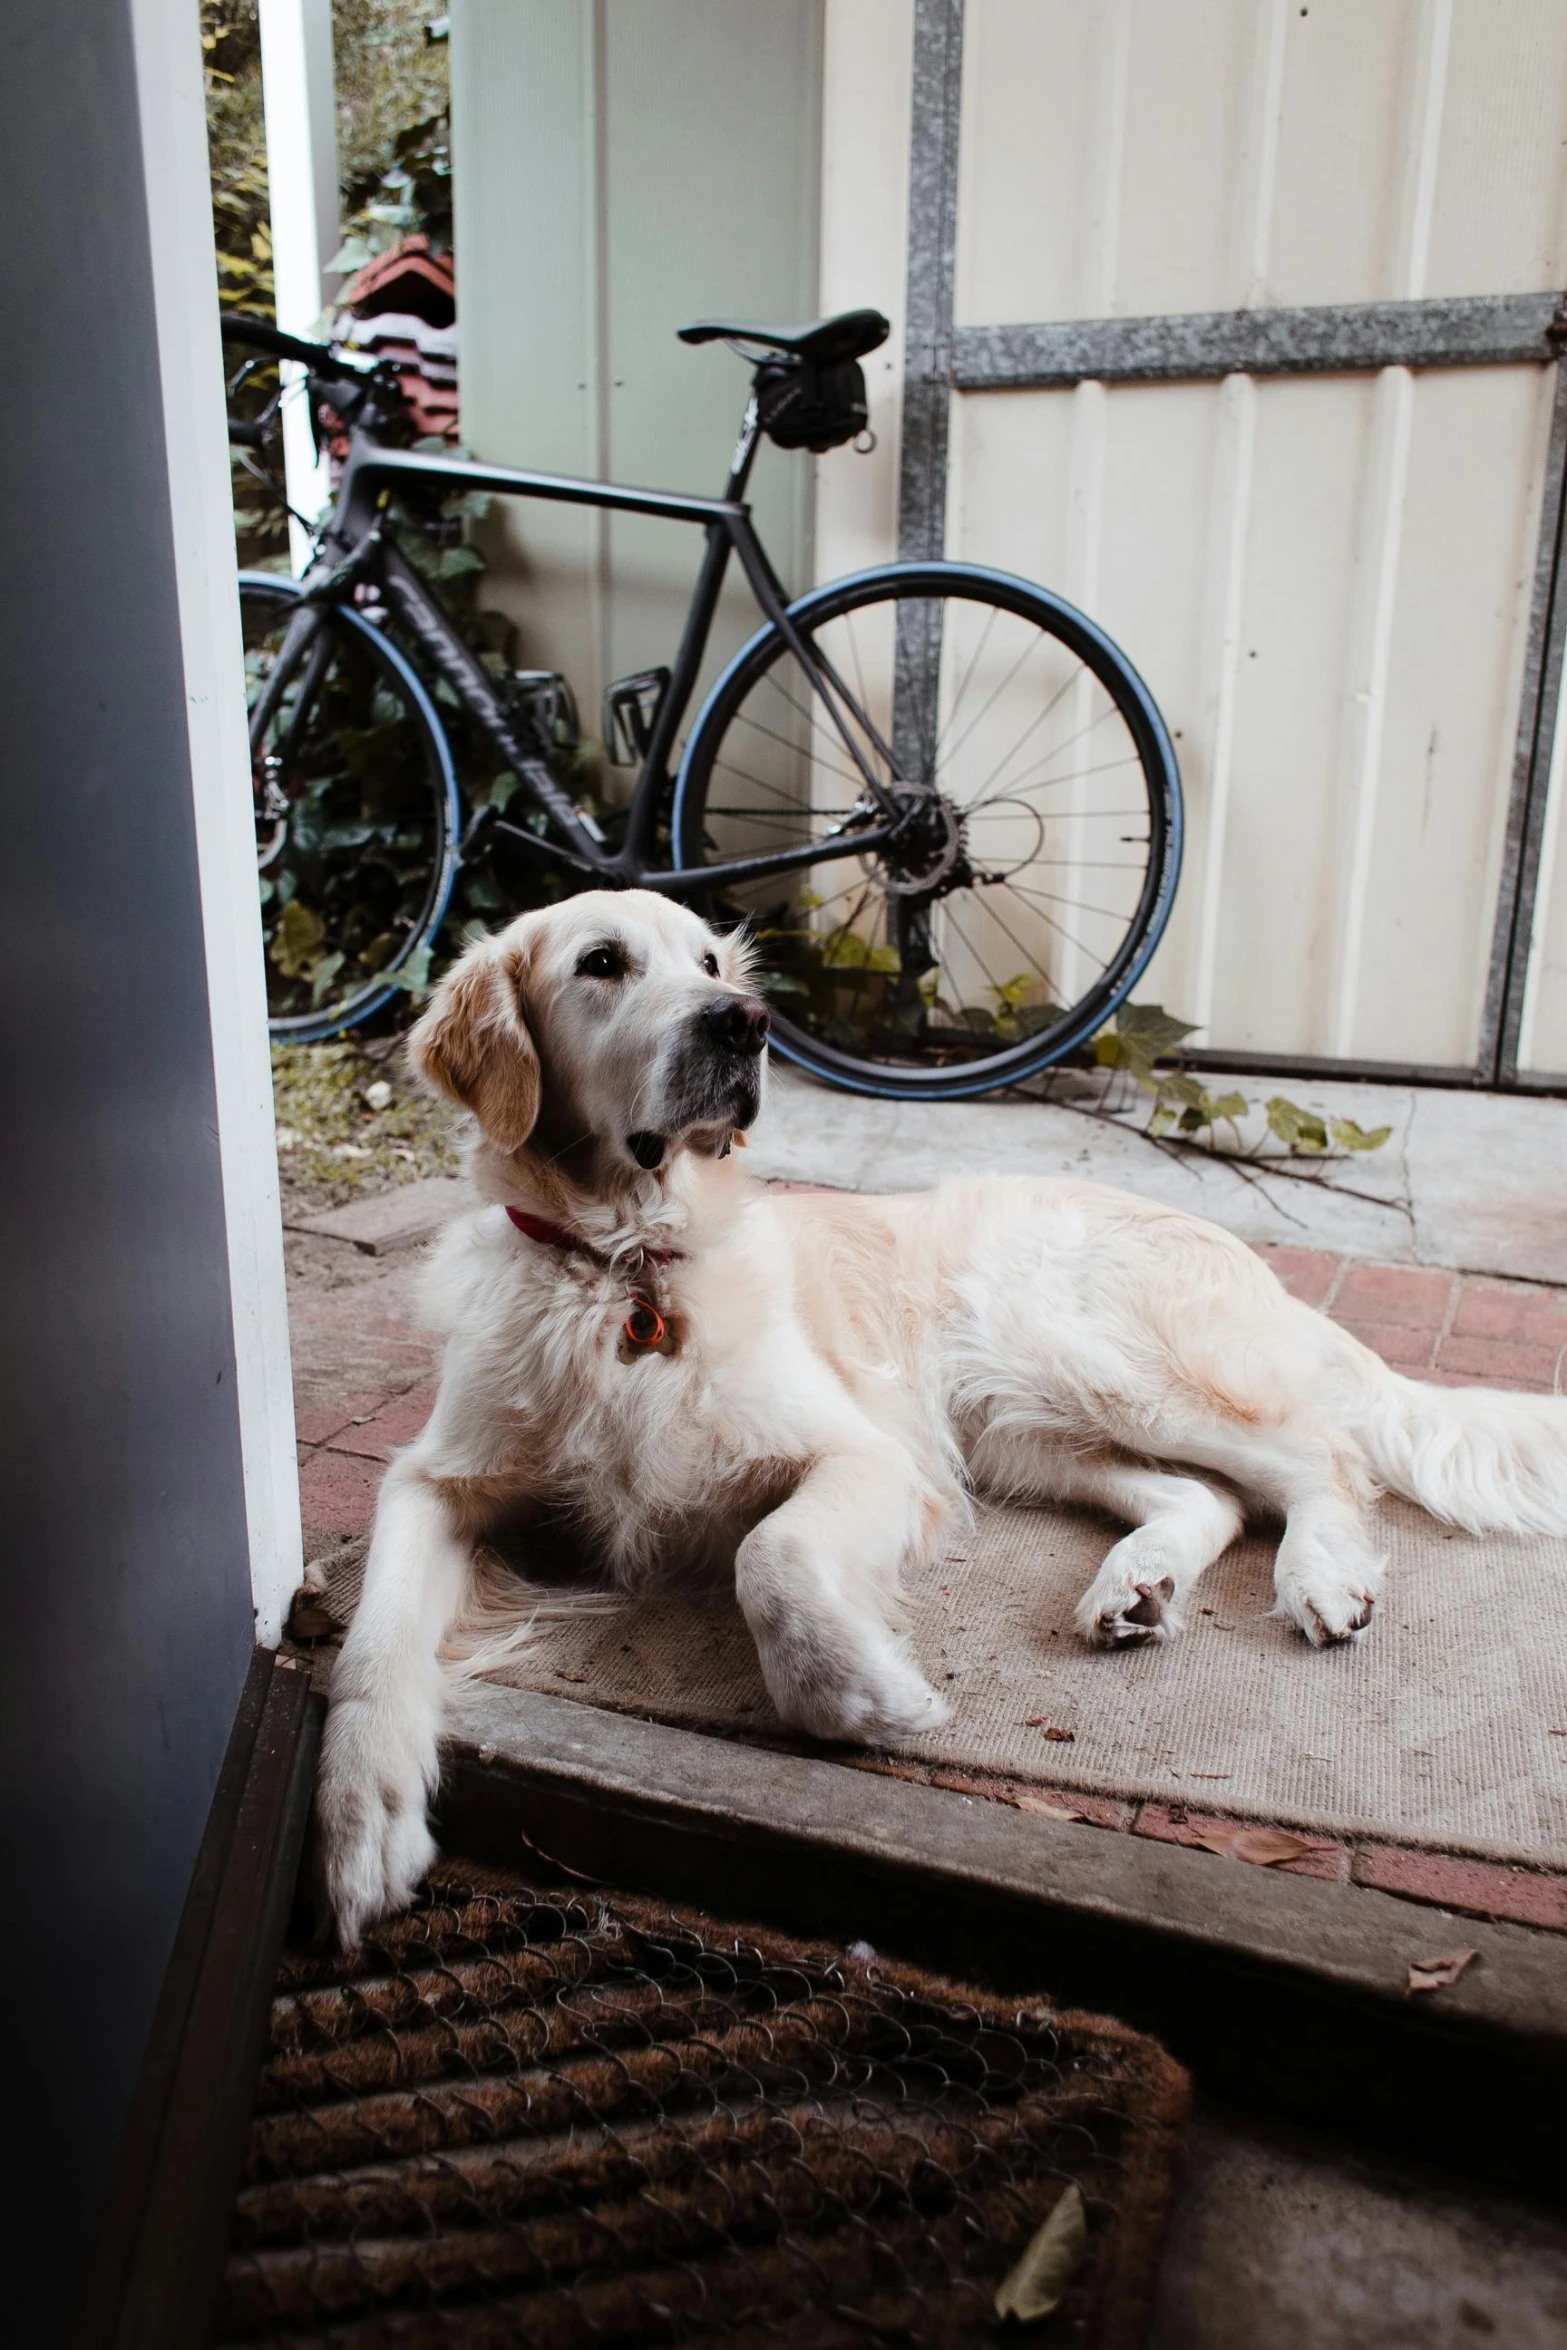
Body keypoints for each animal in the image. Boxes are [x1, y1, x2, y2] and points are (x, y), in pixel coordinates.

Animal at [314, 888, 1567, 1936]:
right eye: (602, 962)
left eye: (710, 958)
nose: (744, 1022)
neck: (622, 1266)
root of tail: (1235, 1249)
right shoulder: (432, 1477)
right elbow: (370, 1640)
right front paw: (362, 1817)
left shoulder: (865, 1454)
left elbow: (772, 1558)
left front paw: (865, 1695)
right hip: (1021, 1431)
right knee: (1208, 1497)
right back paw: (1136, 1585)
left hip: (1089, 1358)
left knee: (1319, 1459)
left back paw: (1318, 1576)